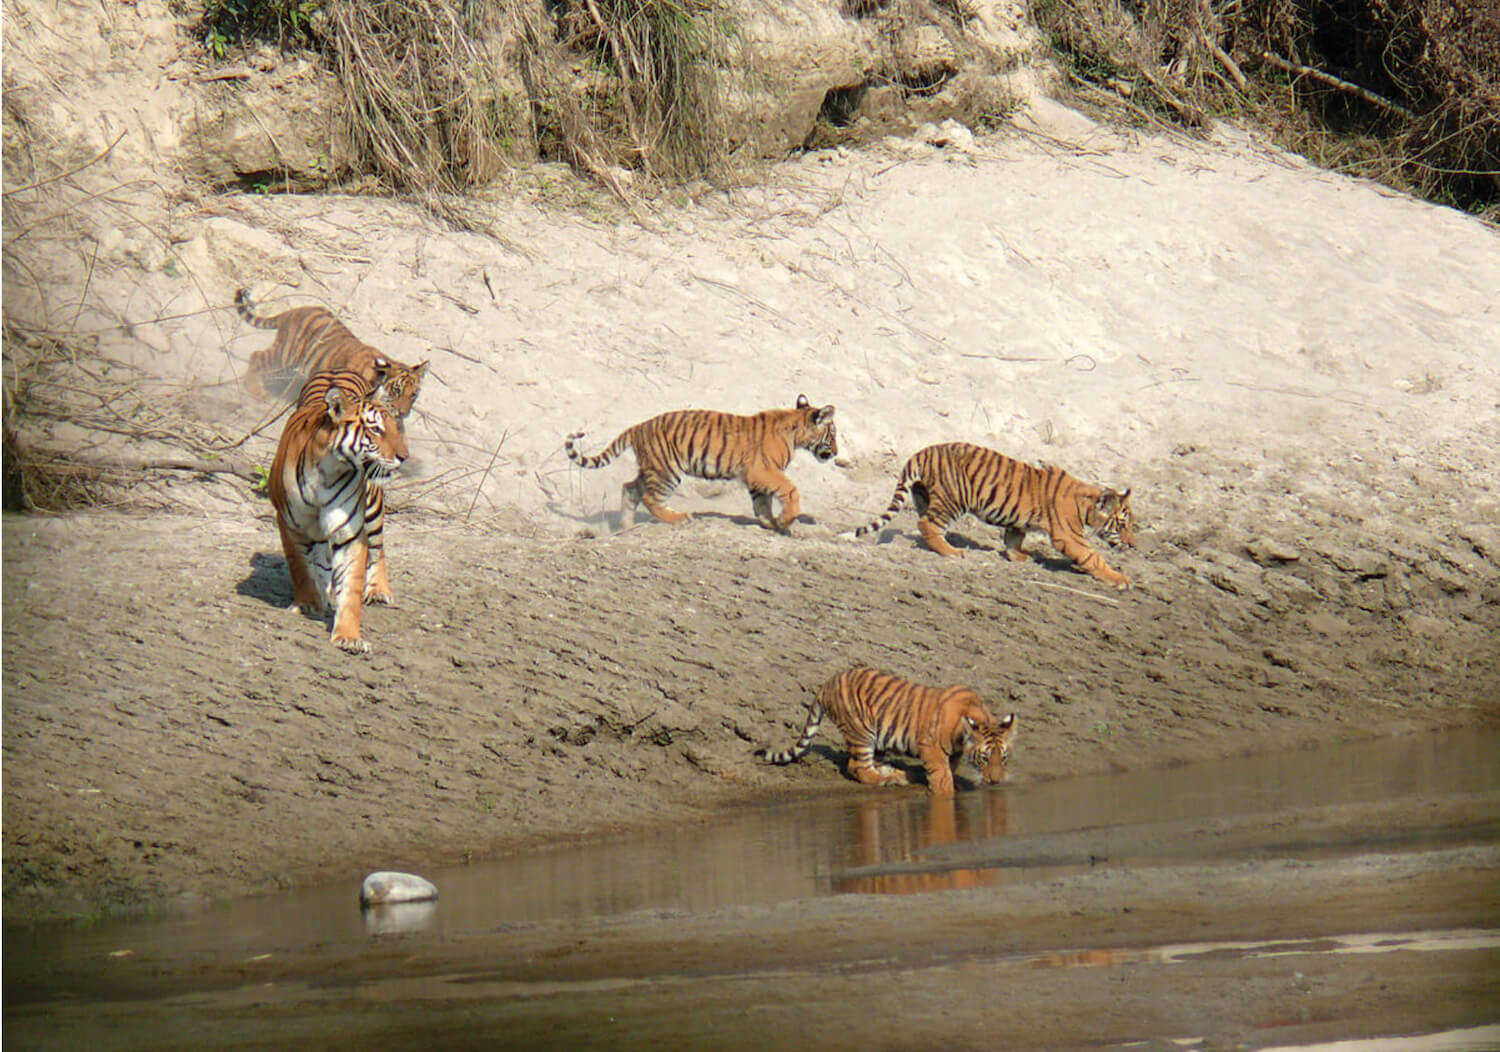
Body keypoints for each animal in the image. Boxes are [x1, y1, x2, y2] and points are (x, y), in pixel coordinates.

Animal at [236, 289, 429, 417]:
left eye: (413, 395)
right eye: (396, 391)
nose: (403, 413)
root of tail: (293, 311)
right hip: (286, 354)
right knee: (256, 356)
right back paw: (255, 390)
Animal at [268, 368, 408, 654]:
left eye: (393, 428)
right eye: (376, 429)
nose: (404, 456)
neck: (329, 471)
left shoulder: (351, 533)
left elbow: (351, 586)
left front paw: (348, 636)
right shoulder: (290, 525)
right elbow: (300, 567)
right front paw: (309, 603)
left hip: (373, 507)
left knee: (379, 548)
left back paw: (378, 590)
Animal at [564, 394, 837, 531]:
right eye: (833, 434)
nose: (835, 453)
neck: (796, 430)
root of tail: (638, 427)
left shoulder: (757, 477)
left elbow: (762, 504)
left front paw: (772, 523)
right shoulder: (764, 470)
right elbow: (790, 491)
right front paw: (785, 521)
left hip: (652, 468)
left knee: (630, 489)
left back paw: (626, 527)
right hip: (667, 472)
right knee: (650, 498)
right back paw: (679, 518)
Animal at [758, 666, 1017, 797]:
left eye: (1003, 757)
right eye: (984, 758)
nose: (995, 781)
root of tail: (827, 683)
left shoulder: (953, 752)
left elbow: (949, 769)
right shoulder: (930, 746)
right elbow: (941, 774)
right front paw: (946, 792)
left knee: (872, 763)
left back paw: (896, 773)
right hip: (862, 731)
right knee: (857, 766)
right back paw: (886, 779)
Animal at [853, 441, 1136, 589]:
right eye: (1122, 525)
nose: (1133, 545)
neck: (1086, 504)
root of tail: (922, 452)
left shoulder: (1019, 520)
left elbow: (1013, 538)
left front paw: (1018, 556)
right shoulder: (1069, 536)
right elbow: (1093, 556)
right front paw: (1119, 578)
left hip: (925, 496)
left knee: (924, 524)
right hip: (953, 499)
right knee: (927, 524)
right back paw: (952, 552)